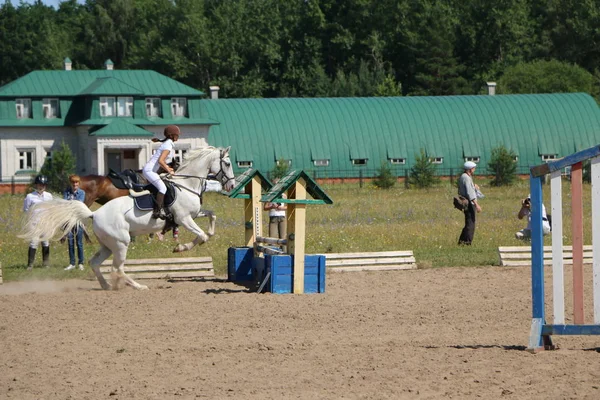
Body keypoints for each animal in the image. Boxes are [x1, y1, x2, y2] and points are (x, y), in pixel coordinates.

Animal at [19, 146, 234, 290]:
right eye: (228, 163)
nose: (231, 185)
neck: (186, 184)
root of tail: (95, 214)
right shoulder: (184, 219)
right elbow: (202, 236)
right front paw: (180, 247)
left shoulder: (195, 214)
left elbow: (212, 217)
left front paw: (187, 243)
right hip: (121, 243)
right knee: (118, 268)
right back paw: (137, 286)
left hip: (108, 245)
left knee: (95, 263)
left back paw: (107, 286)